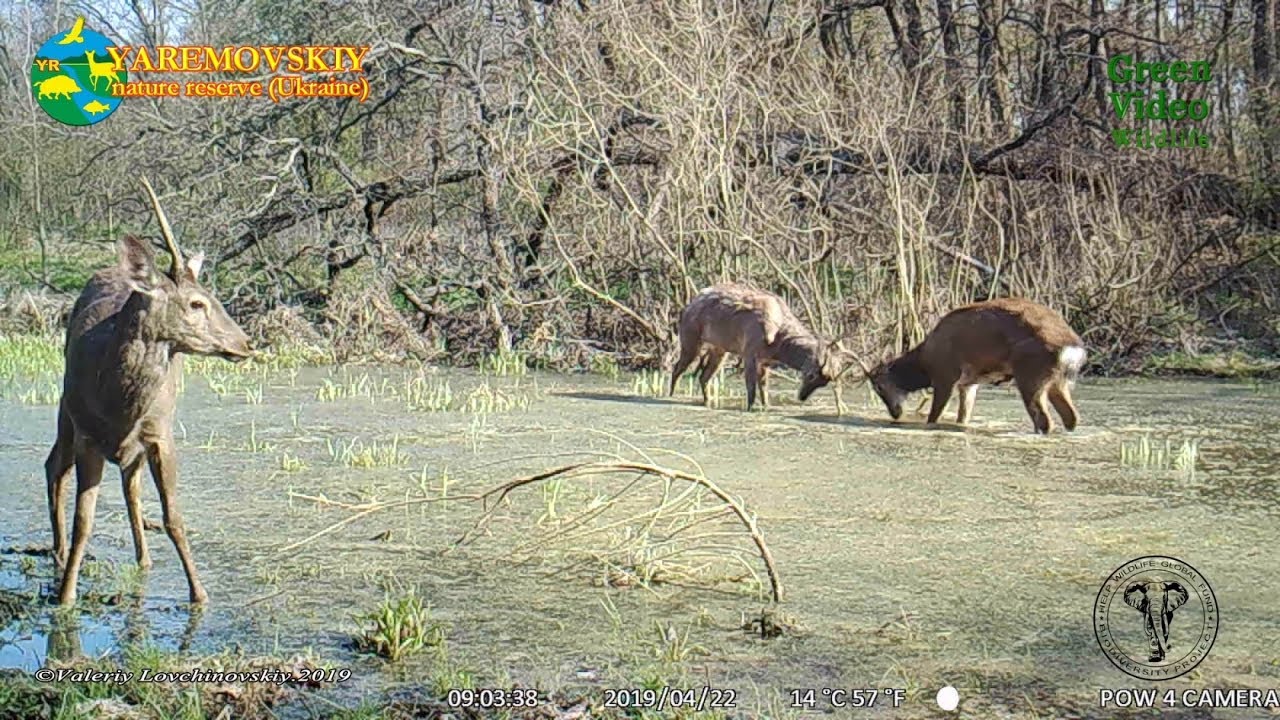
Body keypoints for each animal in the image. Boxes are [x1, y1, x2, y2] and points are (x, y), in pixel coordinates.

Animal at [45, 177, 252, 606]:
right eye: (197, 303)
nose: (246, 342)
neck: (115, 403)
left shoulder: (160, 433)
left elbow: (173, 516)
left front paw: (199, 594)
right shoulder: (87, 434)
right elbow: (83, 521)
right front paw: (66, 597)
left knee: (130, 486)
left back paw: (144, 559)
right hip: (64, 412)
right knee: (54, 466)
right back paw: (56, 552)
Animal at [668, 283, 848, 411]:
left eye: (823, 383)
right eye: (810, 375)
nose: (802, 397)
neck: (778, 344)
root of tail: (685, 308)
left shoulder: (764, 361)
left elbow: (764, 388)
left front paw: (766, 406)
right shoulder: (749, 352)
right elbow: (751, 386)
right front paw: (749, 408)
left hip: (719, 349)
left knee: (704, 376)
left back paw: (707, 402)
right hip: (690, 339)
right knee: (677, 368)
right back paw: (670, 396)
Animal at [859, 297, 1086, 434]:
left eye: (879, 386)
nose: (895, 413)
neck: (925, 362)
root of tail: (1071, 348)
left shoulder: (946, 374)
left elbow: (934, 416)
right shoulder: (969, 383)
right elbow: (963, 417)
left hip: (1030, 373)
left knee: (1044, 420)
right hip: (1057, 380)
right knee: (1071, 417)